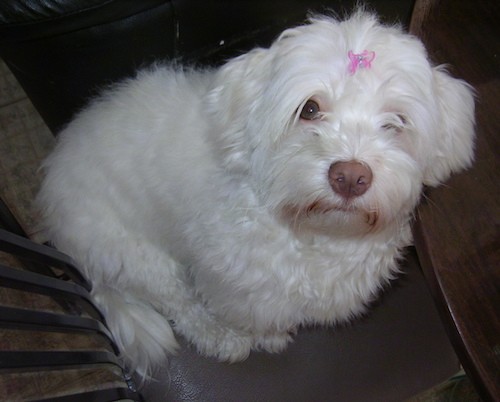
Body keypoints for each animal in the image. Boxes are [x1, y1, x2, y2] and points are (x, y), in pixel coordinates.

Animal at [36, 11, 476, 378]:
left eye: (396, 122)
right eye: (309, 109)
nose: (350, 177)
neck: (314, 234)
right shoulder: (237, 285)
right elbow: (256, 315)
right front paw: (270, 337)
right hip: (136, 255)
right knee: (180, 305)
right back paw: (222, 339)